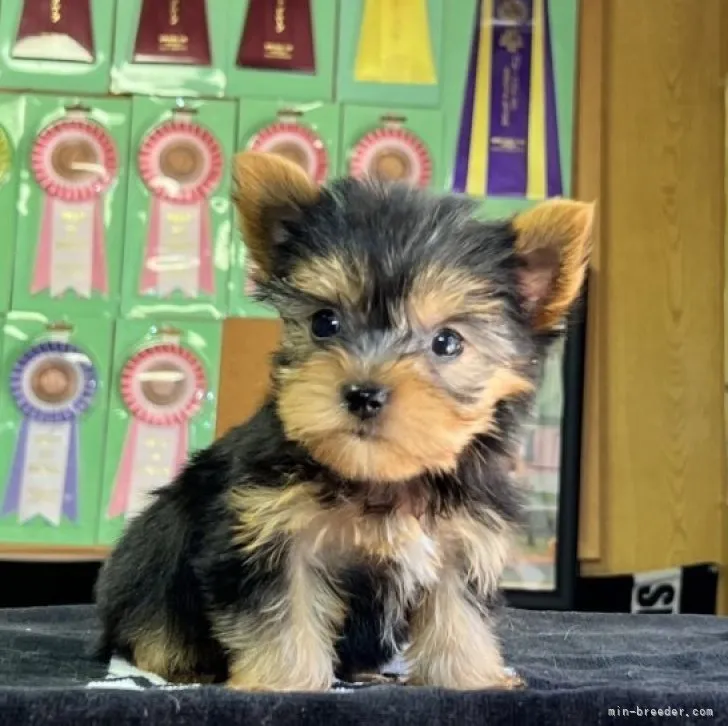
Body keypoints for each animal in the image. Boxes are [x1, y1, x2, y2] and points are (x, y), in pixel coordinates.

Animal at [94, 151, 596, 692]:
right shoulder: (267, 529)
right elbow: (282, 611)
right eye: (324, 322)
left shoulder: (461, 540)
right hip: (155, 547)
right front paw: (282, 680)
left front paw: (469, 676)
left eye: (447, 342)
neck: (380, 477)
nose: (363, 393)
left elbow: (457, 614)